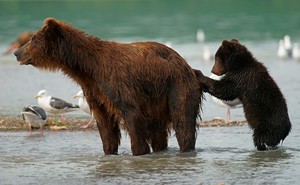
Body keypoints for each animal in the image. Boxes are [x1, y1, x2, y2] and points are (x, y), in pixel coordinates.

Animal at [12, 17, 203, 156]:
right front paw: (109, 152)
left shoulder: (117, 85)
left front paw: (139, 152)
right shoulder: (95, 92)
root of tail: (189, 67)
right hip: (158, 100)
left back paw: (185, 149)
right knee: (159, 132)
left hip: (177, 87)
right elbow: (105, 126)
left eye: (33, 40)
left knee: (182, 122)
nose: (16, 52)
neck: (87, 68)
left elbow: (132, 117)